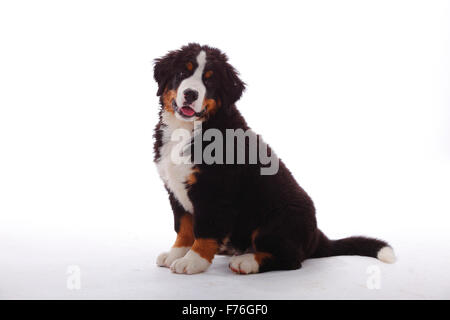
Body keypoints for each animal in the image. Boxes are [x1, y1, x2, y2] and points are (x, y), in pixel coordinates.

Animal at [153, 43, 396, 276]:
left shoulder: (214, 192)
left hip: (278, 220)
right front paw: (176, 254)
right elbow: (184, 227)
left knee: (290, 258)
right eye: (182, 73)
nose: (191, 94)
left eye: (209, 80)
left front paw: (193, 261)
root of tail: (316, 237)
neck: (186, 130)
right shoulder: (175, 190)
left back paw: (246, 262)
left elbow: (204, 231)